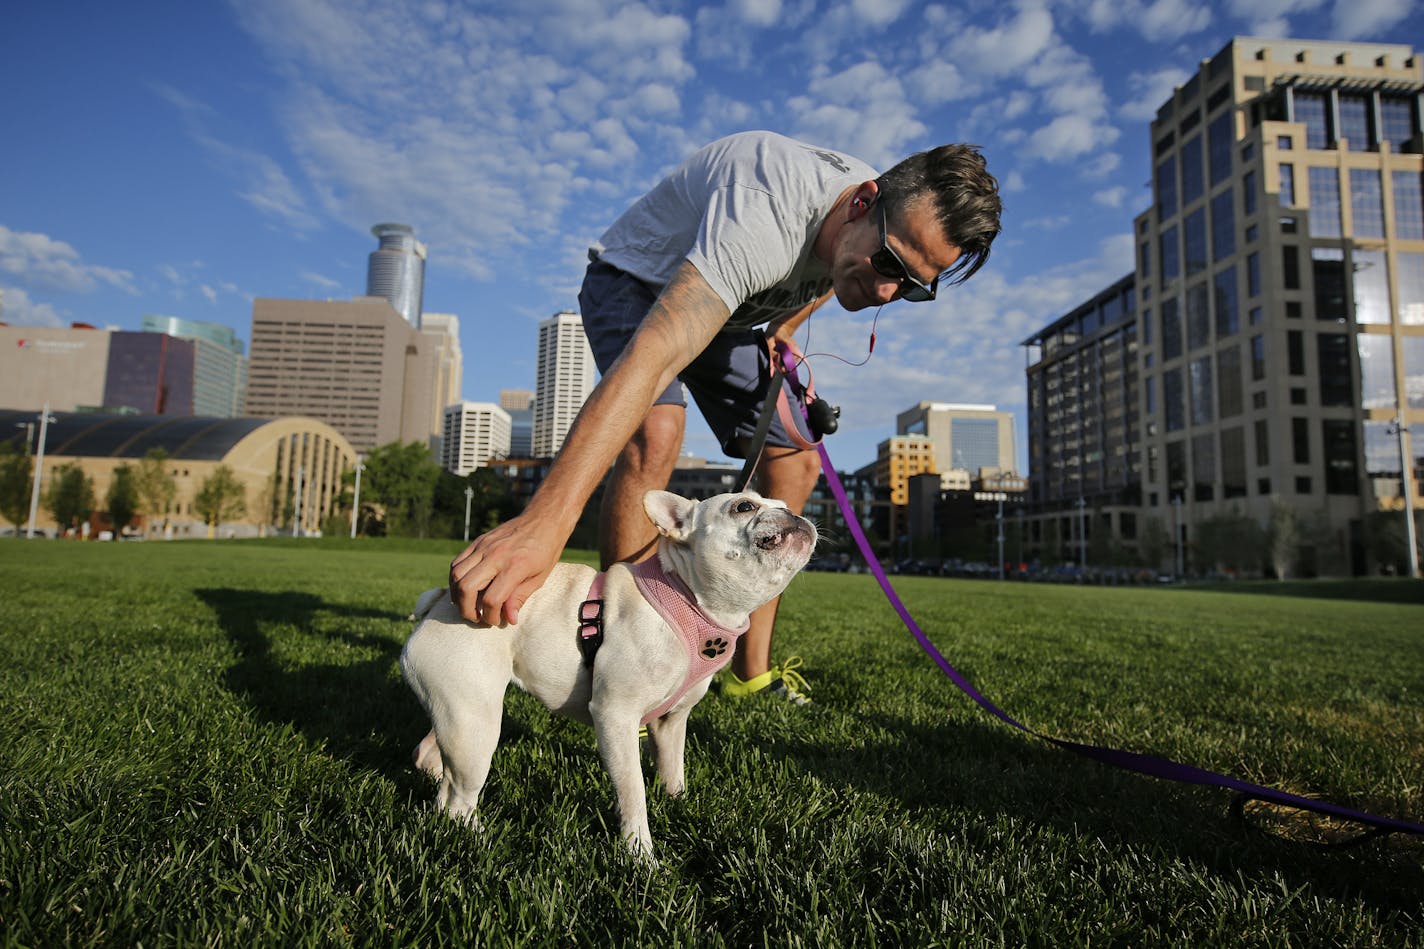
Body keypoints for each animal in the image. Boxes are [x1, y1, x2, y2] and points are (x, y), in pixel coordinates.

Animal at [407, 487, 820, 854]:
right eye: (744, 506)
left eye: (784, 503)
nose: (794, 513)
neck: (690, 599)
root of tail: (442, 601)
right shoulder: (616, 717)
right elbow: (633, 790)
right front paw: (641, 854)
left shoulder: (672, 721)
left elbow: (673, 768)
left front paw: (678, 803)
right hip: (475, 724)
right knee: (458, 798)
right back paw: (481, 840)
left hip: (464, 709)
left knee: (436, 760)